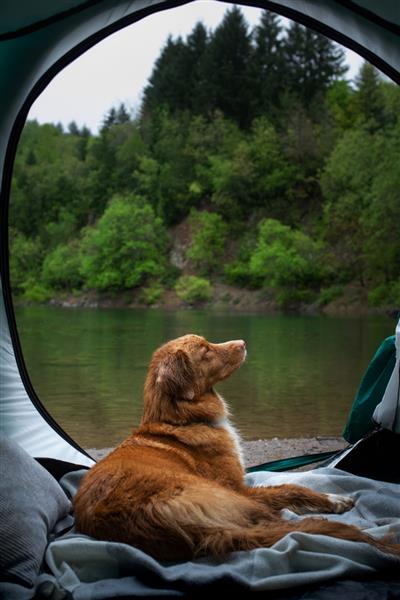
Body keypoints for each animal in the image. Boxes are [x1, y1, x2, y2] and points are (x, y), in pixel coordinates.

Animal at [74, 336, 400, 560]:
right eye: (205, 350)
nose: (243, 342)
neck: (181, 418)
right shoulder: (238, 487)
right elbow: (291, 488)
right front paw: (334, 499)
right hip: (235, 500)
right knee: (282, 518)